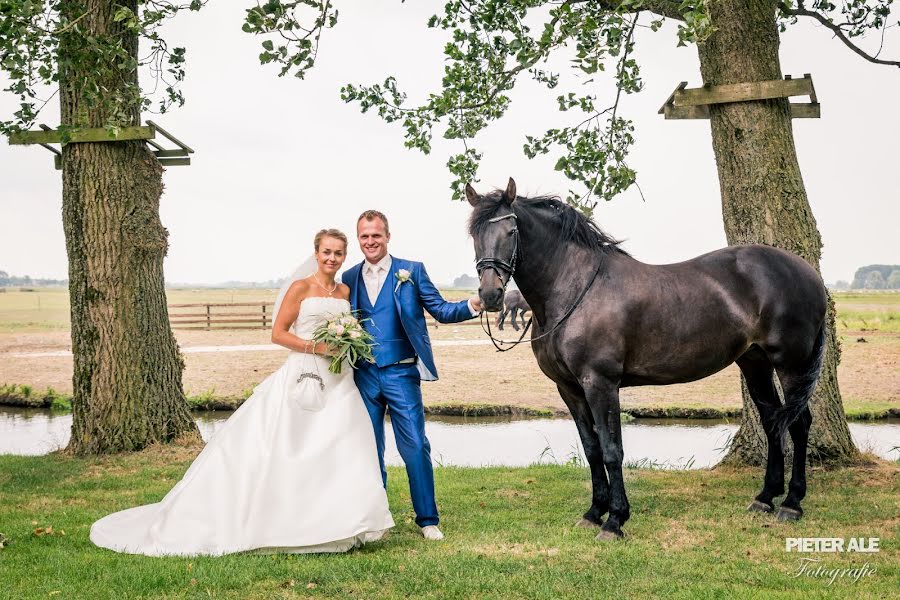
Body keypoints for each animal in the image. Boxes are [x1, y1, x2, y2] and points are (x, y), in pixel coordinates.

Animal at [472, 178, 828, 540]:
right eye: (474, 232)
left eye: (511, 230)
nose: (490, 295)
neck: (576, 289)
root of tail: (808, 273)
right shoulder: (569, 389)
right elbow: (591, 449)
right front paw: (594, 513)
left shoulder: (601, 384)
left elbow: (612, 450)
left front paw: (615, 521)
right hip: (756, 363)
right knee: (772, 422)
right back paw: (765, 498)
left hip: (790, 363)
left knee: (799, 424)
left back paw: (792, 503)